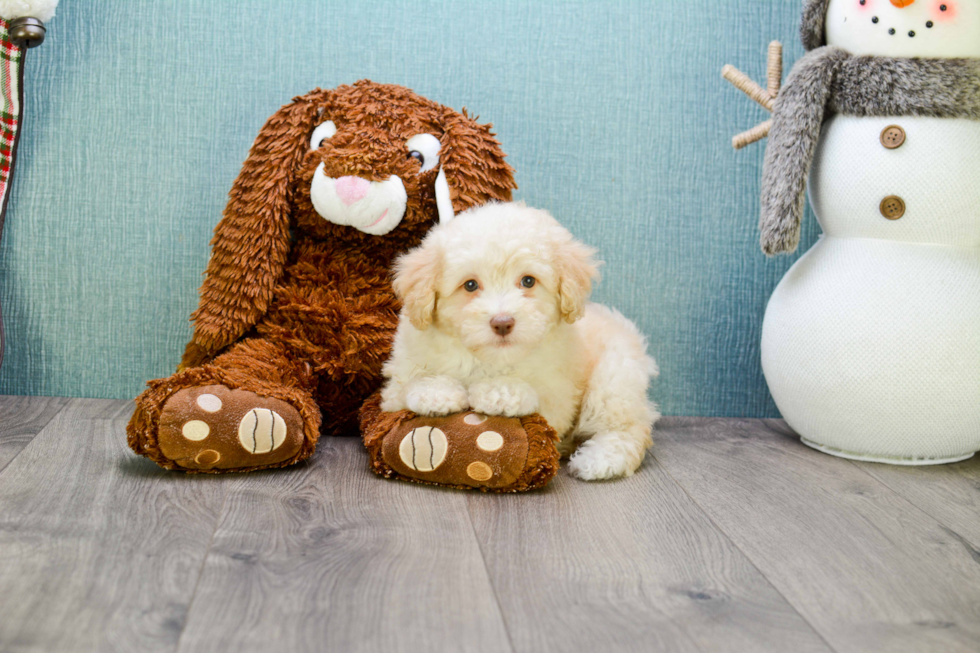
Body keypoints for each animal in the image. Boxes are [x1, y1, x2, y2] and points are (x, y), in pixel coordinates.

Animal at [378, 201, 664, 482]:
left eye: (528, 281)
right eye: (470, 285)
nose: (502, 322)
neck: (489, 359)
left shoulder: (559, 395)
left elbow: (538, 400)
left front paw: (500, 393)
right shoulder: (397, 381)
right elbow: (406, 388)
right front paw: (436, 392)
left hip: (615, 376)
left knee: (628, 426)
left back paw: (600, 460)